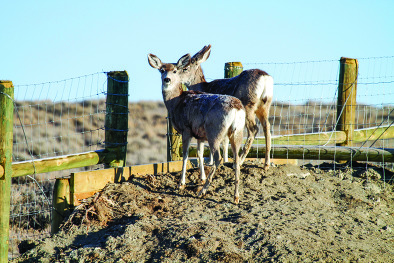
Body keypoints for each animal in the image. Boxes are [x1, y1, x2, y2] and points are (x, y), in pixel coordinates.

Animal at [149, 52, 246, 204]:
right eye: (162, 70)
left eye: (175, 70)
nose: (167, 79)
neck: (176, 102)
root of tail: (236, 109)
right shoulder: (200, 134)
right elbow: (200, 154)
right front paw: (201, 178)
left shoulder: (186, 129)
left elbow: (185, 155)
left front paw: (181, 183)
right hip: (237, 132)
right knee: (236, 159)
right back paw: (235, 197)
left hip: (214, 131)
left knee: (218, 158)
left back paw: (202, 191)